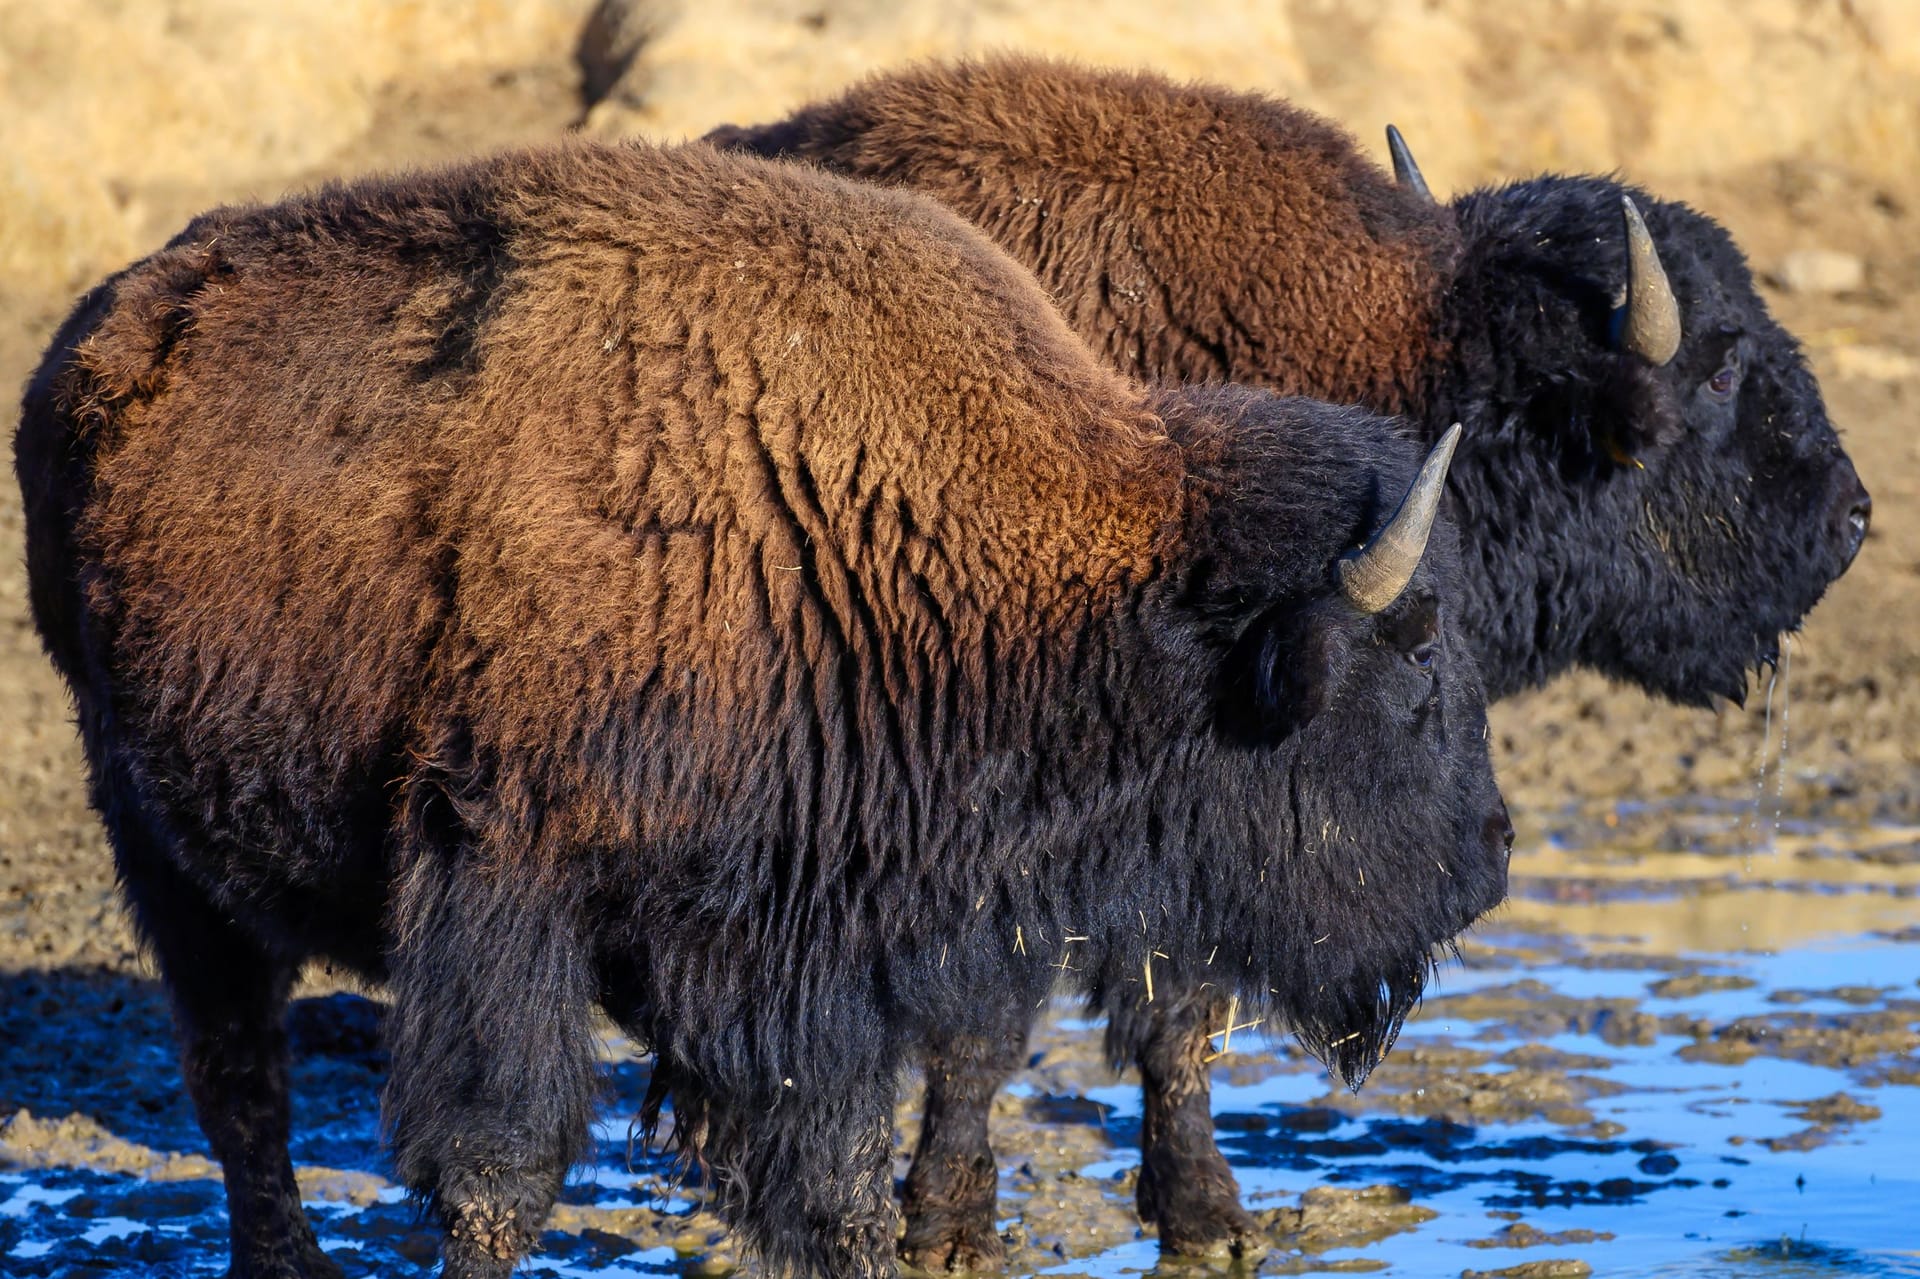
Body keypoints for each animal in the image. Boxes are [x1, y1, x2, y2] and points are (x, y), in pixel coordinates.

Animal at [15, 139, 1512, 1275]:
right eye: (1417, 662)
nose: (1492, 857)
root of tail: (92, 337)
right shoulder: (504, 875)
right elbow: (503, 1163)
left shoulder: (808, 956)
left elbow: (837, 1173)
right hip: (160, 844)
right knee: (240, 1082)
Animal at [710, 54, 1873, 1259]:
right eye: (1722, 368)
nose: (1853, 516)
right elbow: (1001, 1024)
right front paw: (956, 1228)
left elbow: (1176, 1013)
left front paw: (1205, 1218)